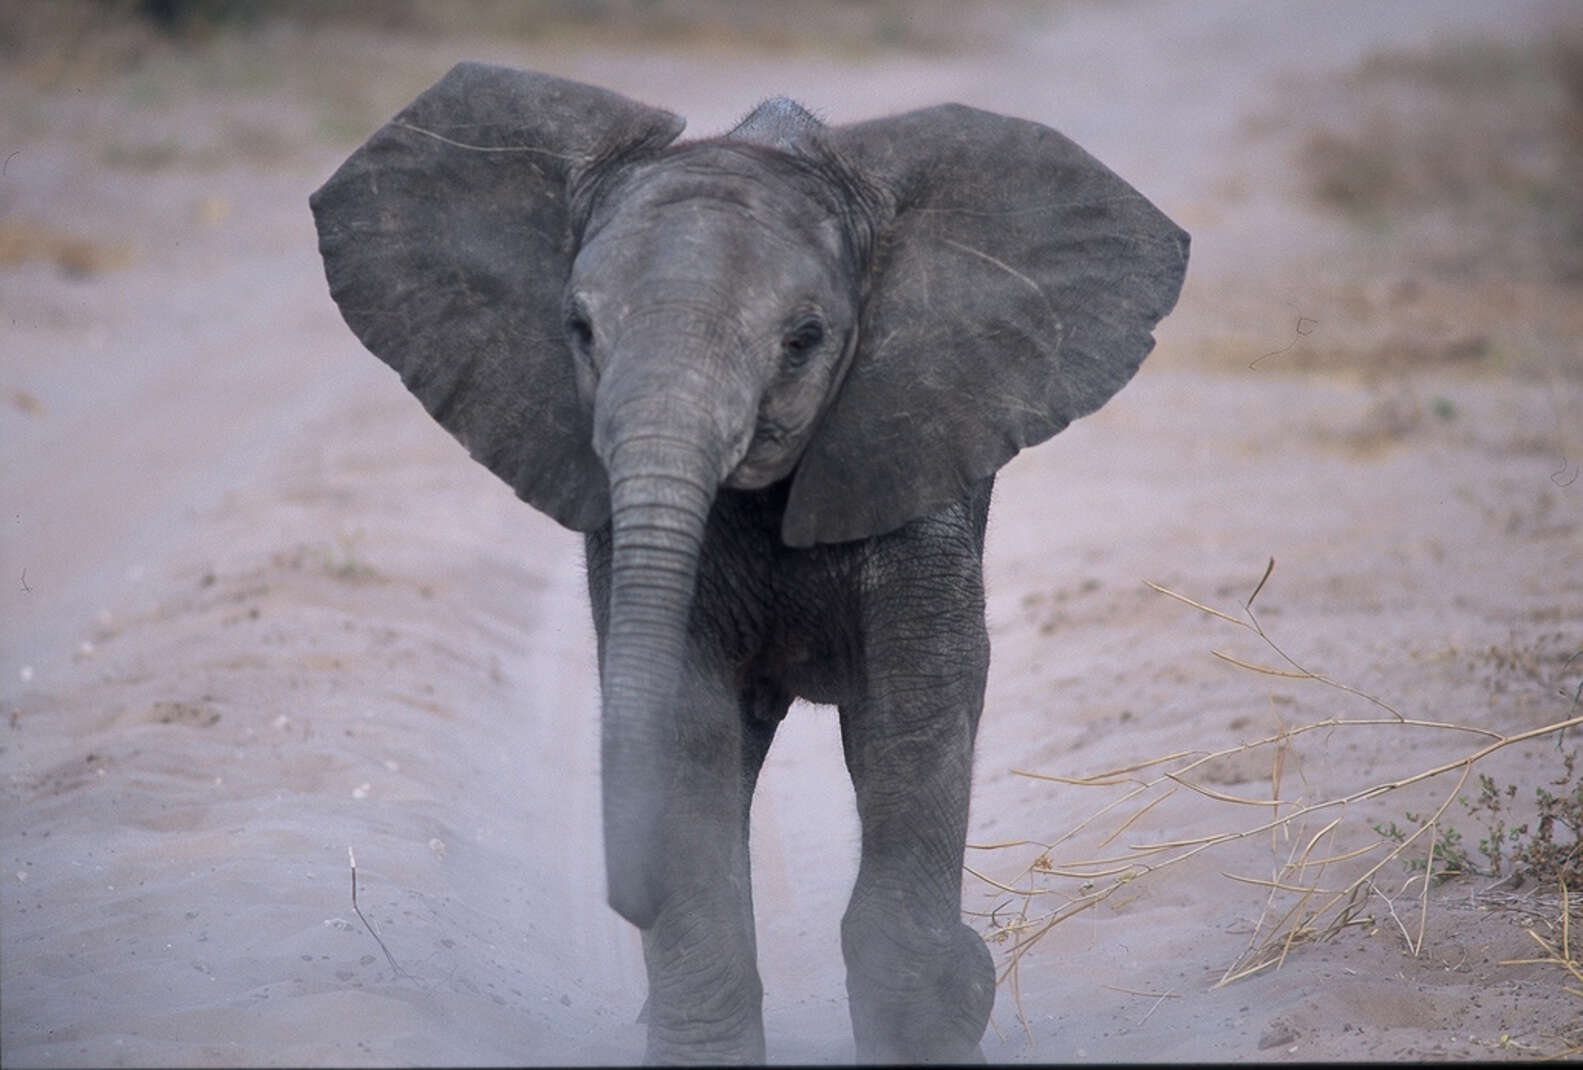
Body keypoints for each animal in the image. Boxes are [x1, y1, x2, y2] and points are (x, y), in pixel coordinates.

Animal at [308, 64, 1184, 1063]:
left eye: (803, 339)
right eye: (578, 329)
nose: (623, 895)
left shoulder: (912, 455)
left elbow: (917, 707)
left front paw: (939, 1017)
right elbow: (686, 725)